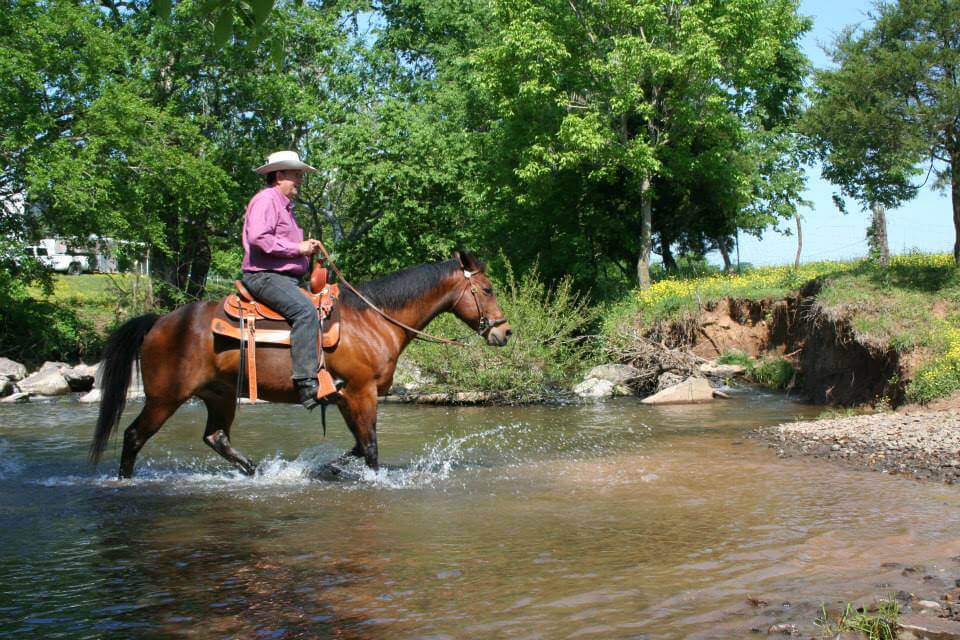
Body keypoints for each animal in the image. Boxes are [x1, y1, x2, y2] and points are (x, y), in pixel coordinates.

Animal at [90, 251, 511, 479]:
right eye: (487, 289)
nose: (504, 332)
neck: (374, 320)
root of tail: (159, 321)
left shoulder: (345, 398)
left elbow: (357, 446)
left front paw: (327, 470)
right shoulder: (361, 393)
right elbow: (370, 447)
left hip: (219, 395)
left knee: (216, 437)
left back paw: (256, 471)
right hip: (166, 396)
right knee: (134, 436)